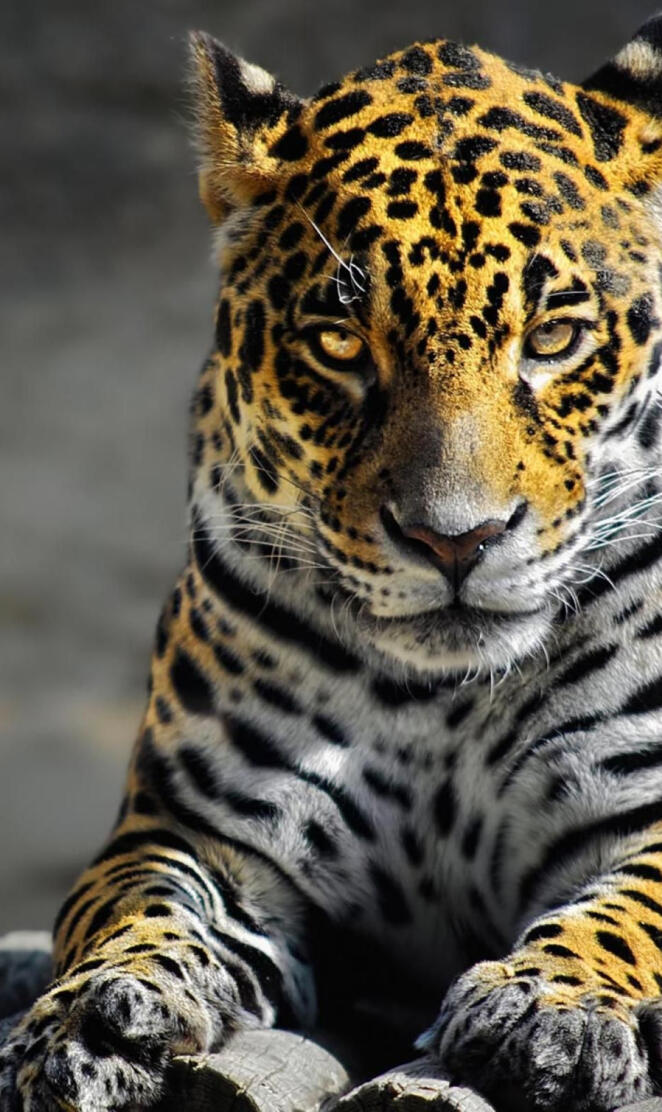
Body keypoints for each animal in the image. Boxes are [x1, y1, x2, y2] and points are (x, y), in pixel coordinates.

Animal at [4, 12, 662, 1112]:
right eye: (340, 344)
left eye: (555, 338)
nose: (454, 539)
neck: (445, 702)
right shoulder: (199, 829)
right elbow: (129, 907)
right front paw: (92, 1013)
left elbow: (628, 909)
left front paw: (549, 1007)